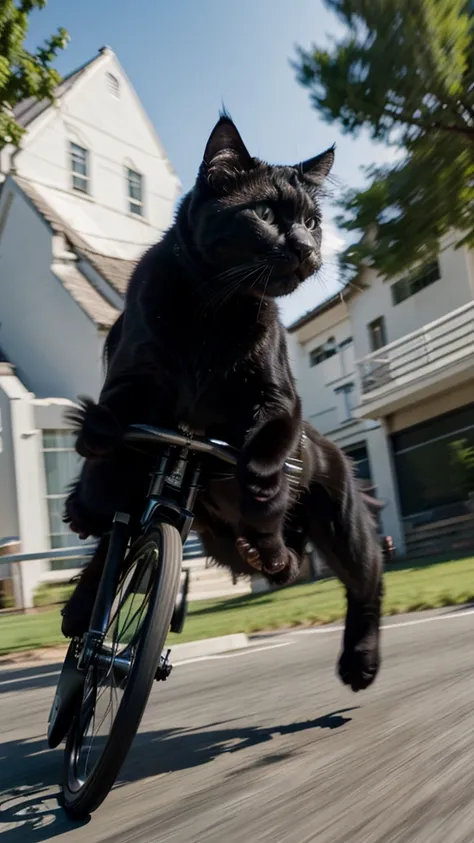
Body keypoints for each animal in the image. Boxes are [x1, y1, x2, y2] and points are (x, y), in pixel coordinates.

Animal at [63, 113, 384, 692]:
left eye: (313, 222)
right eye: (265, 214)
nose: (307, 247)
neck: (215, 308)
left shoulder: (279, 399)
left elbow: (267, 441)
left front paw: (260, 483)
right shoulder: (133, 381)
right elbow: (110, 435)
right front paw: (90, 475)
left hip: (344, 530)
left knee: (367, 584)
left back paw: (359, 660)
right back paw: (81, 603)